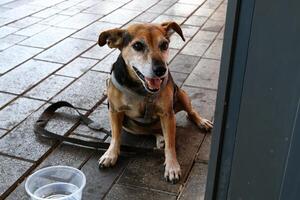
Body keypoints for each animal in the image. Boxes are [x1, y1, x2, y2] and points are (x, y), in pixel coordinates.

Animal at [97, 21, 212, 183]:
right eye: (137, 45)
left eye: (164, 45)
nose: (161, 70)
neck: (141, 88)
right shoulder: (115, 111)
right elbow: (115, 136)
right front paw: (110, 154)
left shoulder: (167, 114)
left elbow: (171, 145)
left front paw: (172, 166)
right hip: (130, 126)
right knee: (149, 131)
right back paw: (159, 137)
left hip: (181, 95)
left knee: (190, 112)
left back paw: (201, 122)